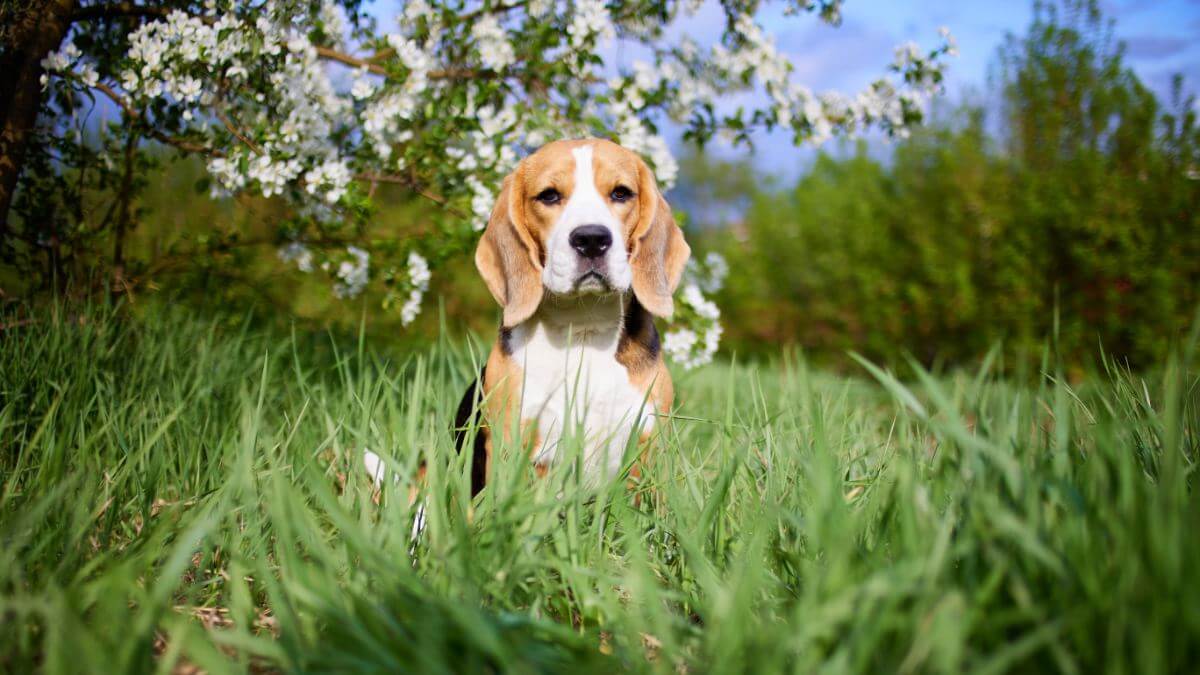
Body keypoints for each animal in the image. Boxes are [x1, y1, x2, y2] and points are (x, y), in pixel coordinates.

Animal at [453, 138, 691, 494]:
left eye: (621, 193)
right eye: (549, 195)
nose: (591, 238)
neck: (583, 328)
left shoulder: (648, 445)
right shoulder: (510, 444)